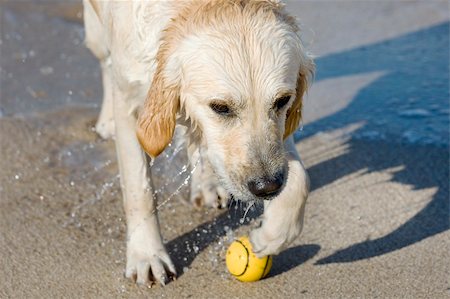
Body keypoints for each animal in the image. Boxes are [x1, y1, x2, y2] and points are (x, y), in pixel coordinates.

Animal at [83, 0, 312, 286]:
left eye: (282, 101)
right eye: (221, 107)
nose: (267, 187)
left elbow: (299, 180)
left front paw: (269, 236)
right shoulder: (130, 99)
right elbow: (139, 190)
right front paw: (147, 256)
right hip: (95, 34)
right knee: (104, 59)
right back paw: (106, 121)